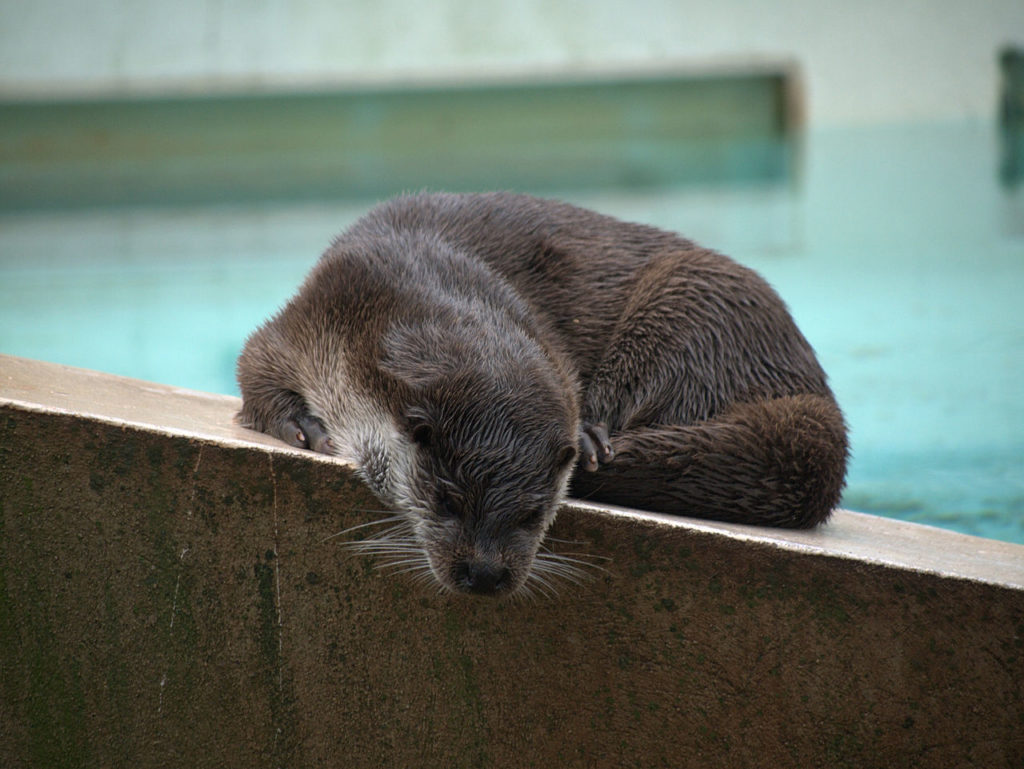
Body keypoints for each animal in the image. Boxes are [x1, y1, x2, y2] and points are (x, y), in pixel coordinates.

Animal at [239, 191, 847, 593]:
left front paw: (587, 434)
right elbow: (255, 359)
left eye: (534, 514)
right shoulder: (318, 313)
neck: (419, 274)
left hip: (691, 311)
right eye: (447, 501)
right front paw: (301, 425)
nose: (485, 574)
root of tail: (807, 386)